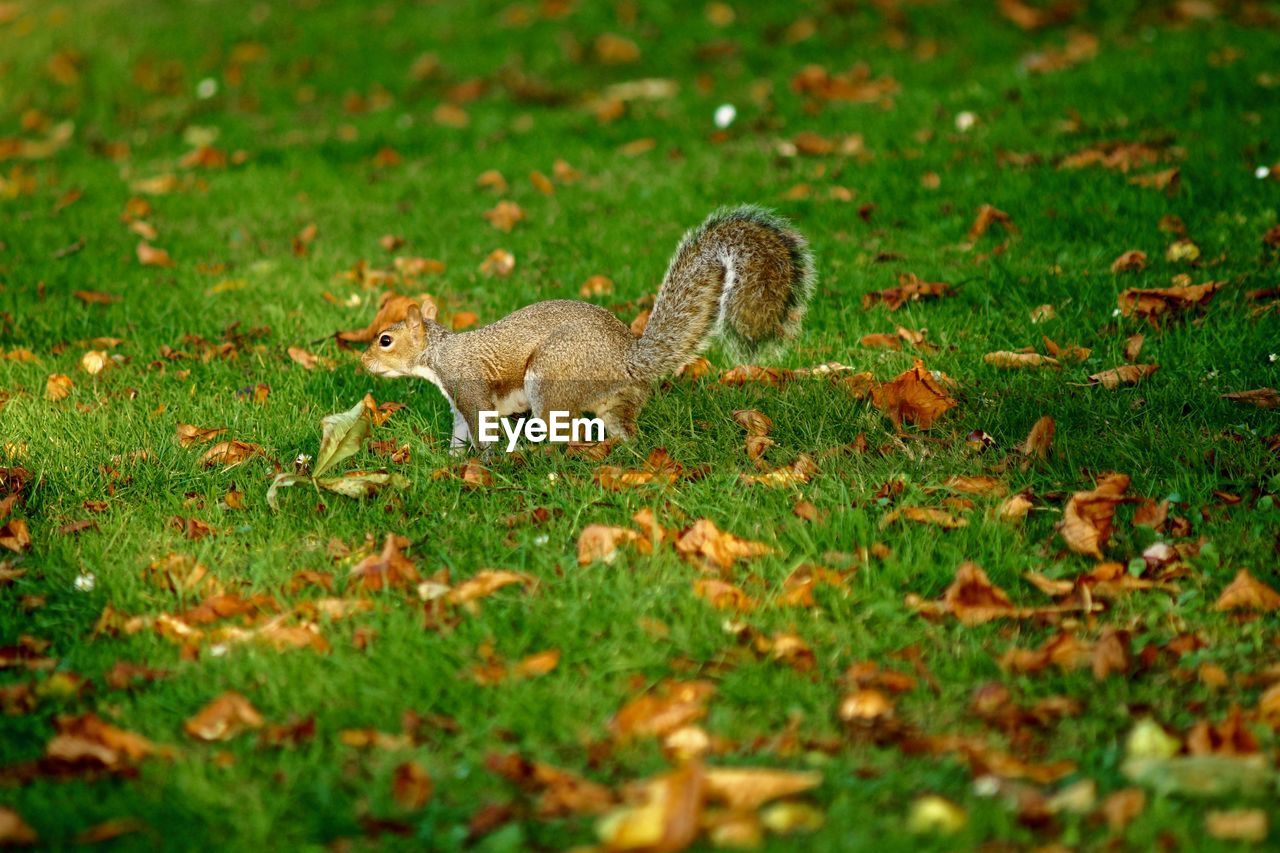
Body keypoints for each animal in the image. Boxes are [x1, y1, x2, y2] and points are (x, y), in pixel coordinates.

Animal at [358, 204, 819, 448]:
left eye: (385, 339)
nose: (362, 363)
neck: (438, 354)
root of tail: (629, 360)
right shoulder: (457, 404)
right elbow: (458, 432)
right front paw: (454, 460)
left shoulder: (469, 387)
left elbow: (481, 431)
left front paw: (482, 464)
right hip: (614, 402)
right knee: (622, 429)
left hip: (552, 378)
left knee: (565, 434)